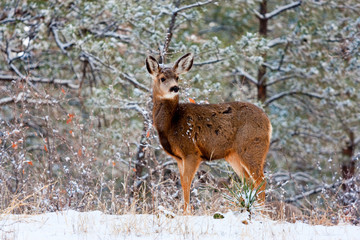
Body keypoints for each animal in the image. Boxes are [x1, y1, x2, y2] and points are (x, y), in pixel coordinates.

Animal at [145, 53, 272, 212]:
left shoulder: (192, 152)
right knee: (248, 181)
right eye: (162, 78)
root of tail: (268, 122)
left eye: (177, 77)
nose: (175, 88)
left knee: (261, 180)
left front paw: (187, 212)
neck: (171, 124)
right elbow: (182, 182)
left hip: (252, 147)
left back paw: (261, 212)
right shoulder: (179, 158)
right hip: (233, 155)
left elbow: (187, 182)